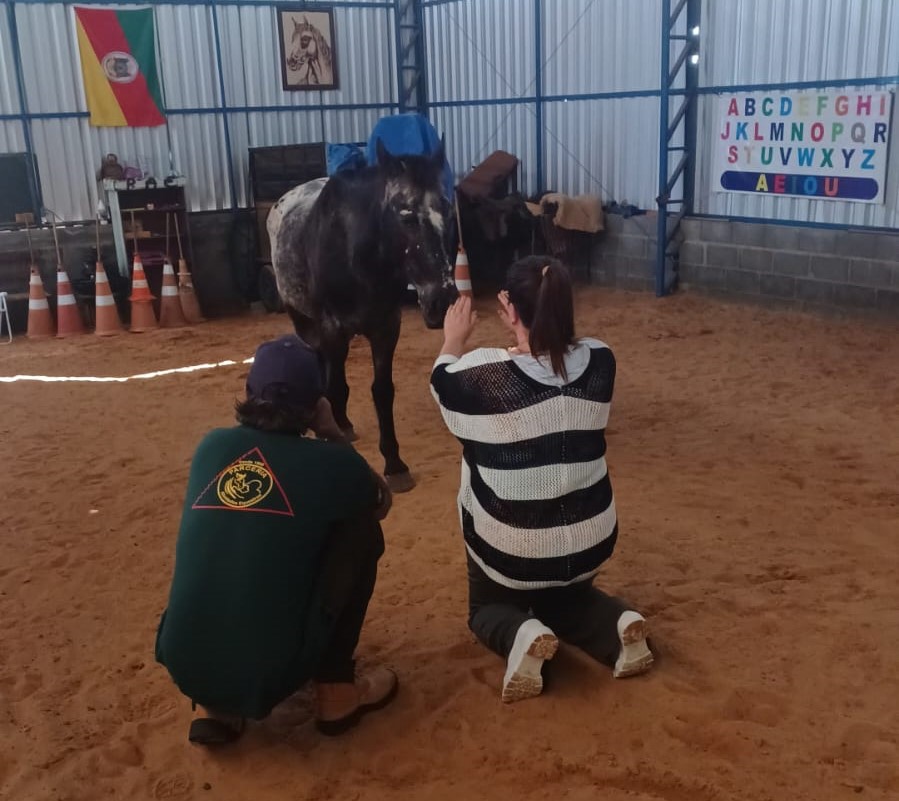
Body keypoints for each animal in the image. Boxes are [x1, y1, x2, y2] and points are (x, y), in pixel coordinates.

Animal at [267, 140, 457, 492]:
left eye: (449, 212)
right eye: (406, 216)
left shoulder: (386, 328)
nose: (443, 301)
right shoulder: (331, 329)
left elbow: (382, 392)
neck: (358, 256)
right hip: (304, 322)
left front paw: (395, 465)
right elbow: (335, 387)